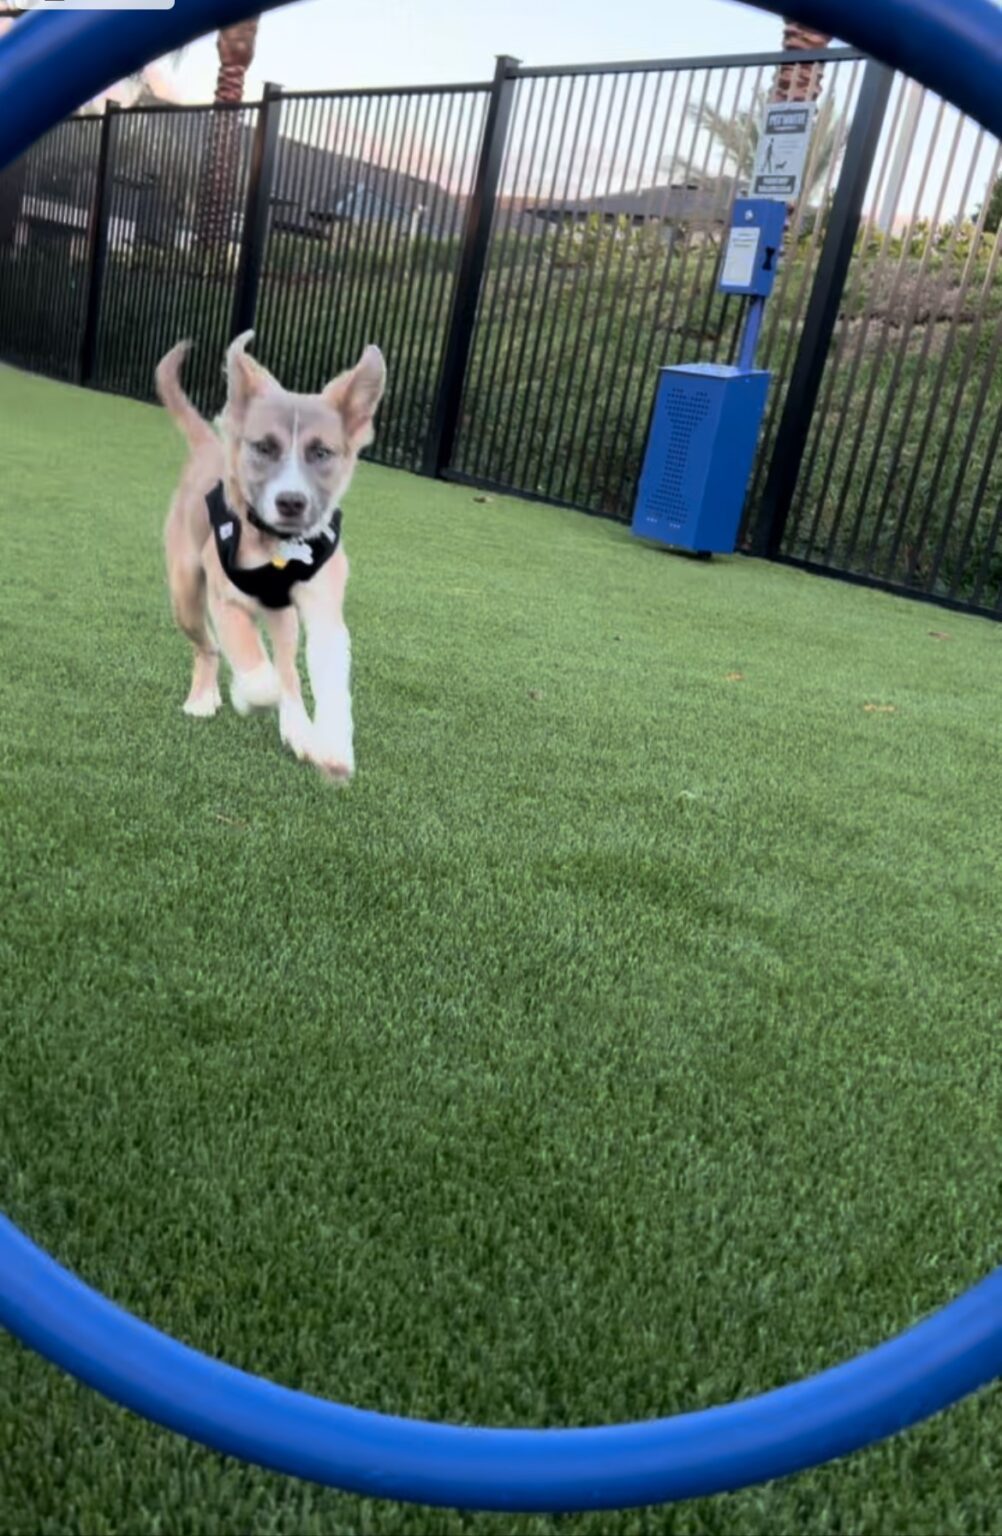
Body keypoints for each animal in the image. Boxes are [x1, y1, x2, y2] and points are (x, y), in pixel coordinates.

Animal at [155, 333, 384, 780]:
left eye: (321, 453)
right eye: (263, 446)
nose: (291, 502)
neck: (278, 546)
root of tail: (210, 446)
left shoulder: (324, 610)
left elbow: (323, 679)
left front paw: (331, 745)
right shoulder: (226, 601)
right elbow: (258, 673)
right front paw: (247, 696)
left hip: (284, 617)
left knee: (287, 667)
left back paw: (299, 731)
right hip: (185, 596)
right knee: (209, 647)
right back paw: (204, 698)